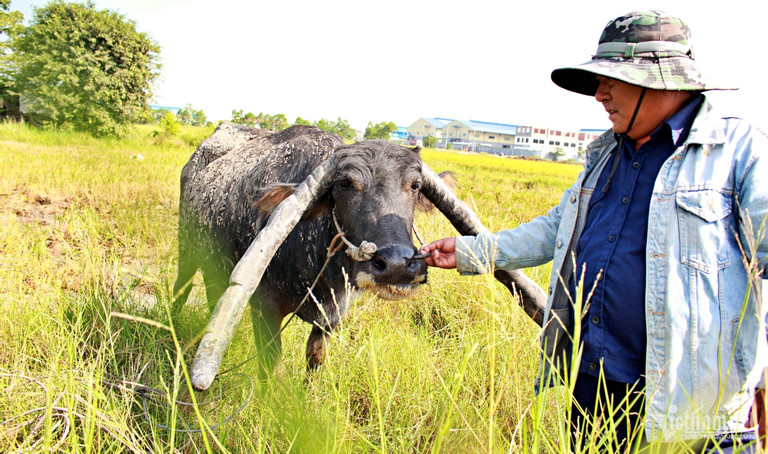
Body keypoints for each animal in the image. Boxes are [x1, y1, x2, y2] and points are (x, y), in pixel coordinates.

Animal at [176, 121, 544, 390]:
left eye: (414, 186)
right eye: (345, 184)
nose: (397, 265)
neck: (317, 269)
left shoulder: (332, 317)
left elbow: (315, 360)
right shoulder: (264, 309)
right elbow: (274, 373)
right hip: (187, 249)